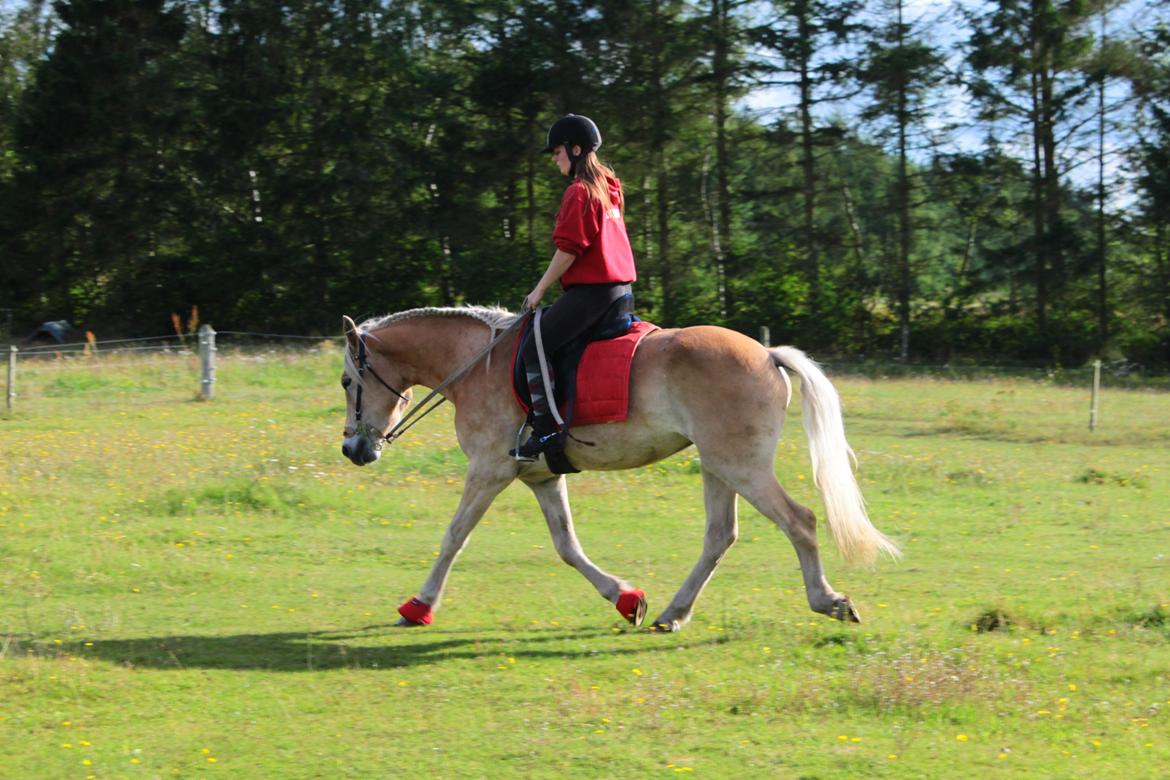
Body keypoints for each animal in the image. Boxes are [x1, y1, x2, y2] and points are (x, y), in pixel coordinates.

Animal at [339, 308, 893, 631]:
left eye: (347, 381)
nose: (352, 448)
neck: (478, 363)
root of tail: (766, 353)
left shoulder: (489, 470)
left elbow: (454, 536)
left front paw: (419, 606)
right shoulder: (541, 476)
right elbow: (567, 546)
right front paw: (626, 599)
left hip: (742, 467)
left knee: (800, 521)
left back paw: (828, 600)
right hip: (719, 466)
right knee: (720, 535)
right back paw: (672, 614)